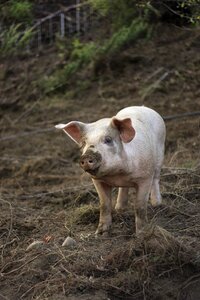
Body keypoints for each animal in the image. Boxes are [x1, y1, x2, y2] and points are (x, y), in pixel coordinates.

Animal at [55, 106, 166, 236]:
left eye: (108, 140)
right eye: (85, 142)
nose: (86, 156)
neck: (117, 174)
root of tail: (143, 107)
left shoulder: (145, 177)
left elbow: (140, 206)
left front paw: (142, 234)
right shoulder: (98, 181)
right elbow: (104, 205)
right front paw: (100, 233)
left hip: (160, 154)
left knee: (156, 178)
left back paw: (157, 203)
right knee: (123, 188)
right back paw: (120, 208)